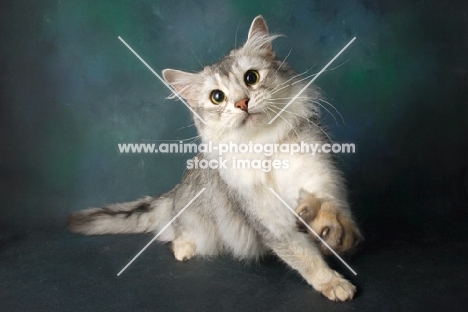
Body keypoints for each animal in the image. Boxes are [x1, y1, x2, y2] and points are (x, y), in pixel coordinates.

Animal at [68, 15, 362, 302]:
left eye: (252, 77)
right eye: (217, 97)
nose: (242, 103)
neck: (262, 143)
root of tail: (174, 195)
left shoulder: (316, 169)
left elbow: (326, 201)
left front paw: (329, 227)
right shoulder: (267, 217)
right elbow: (304, 258)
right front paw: (332, 283)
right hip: (196, 223)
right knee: (173, 235)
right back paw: (183, 248)